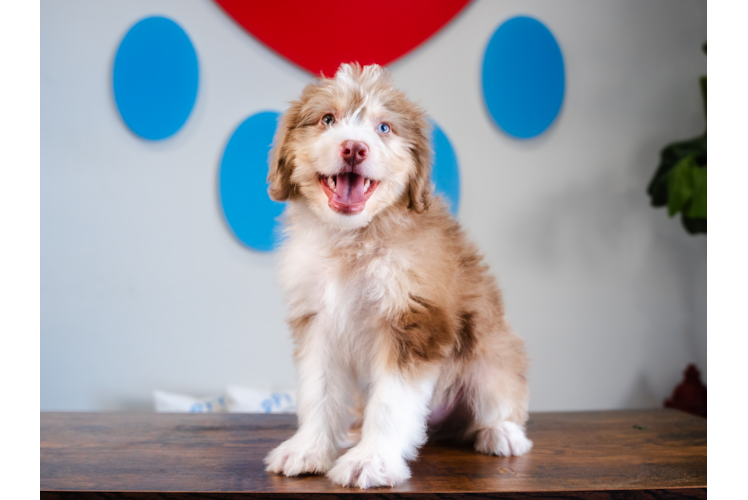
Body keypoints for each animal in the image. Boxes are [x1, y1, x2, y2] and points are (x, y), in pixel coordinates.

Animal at [262, 62, 532, 488]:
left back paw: (502, 433)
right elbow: (318, 390)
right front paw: (308, 450)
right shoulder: (317, 320)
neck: (355, 239)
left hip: (493, 353)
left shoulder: (415, 320)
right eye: (328, 119)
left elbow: (391, 401)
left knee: (499, 397)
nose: (354, 148)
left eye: (384, 127)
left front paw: (371, 461)